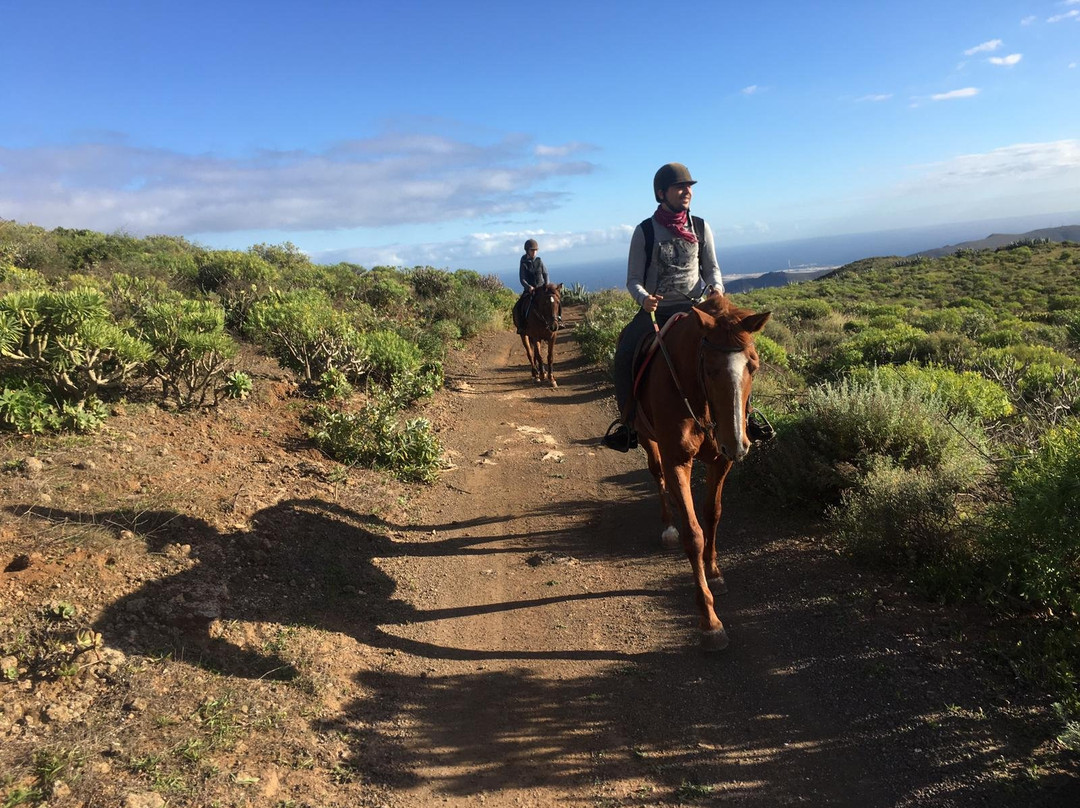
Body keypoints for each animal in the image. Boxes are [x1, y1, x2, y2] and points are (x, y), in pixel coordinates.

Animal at [630, 289, 773, 648]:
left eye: (754, 365)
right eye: (708, 370)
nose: (737, 442)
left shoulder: (721, 460)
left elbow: (713, 513)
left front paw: (715, 572)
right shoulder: (677, 460)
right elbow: (693, 534)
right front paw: (710, 622)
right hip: (646, 437)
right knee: (657, 475)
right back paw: (668, 526)